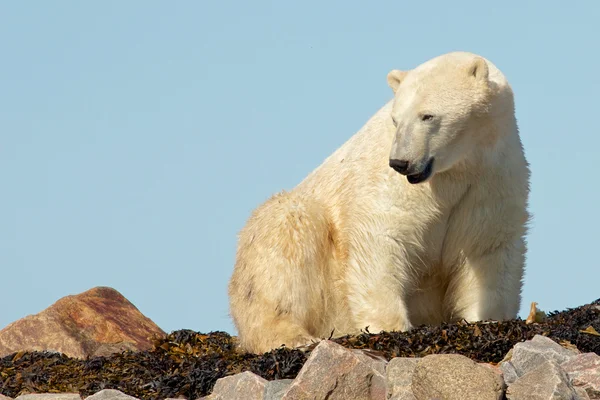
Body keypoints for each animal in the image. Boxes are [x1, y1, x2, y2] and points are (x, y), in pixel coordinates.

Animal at [229, 50, 528, 354]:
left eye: (427, 115)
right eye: (395, 119)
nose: (400, 162)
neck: (456, 170)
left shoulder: (490, 180)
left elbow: (487, 248)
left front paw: (486, 320)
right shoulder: (397, 186)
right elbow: (383, 238)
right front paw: (391, 326)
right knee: (285, 234)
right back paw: (293, 336)